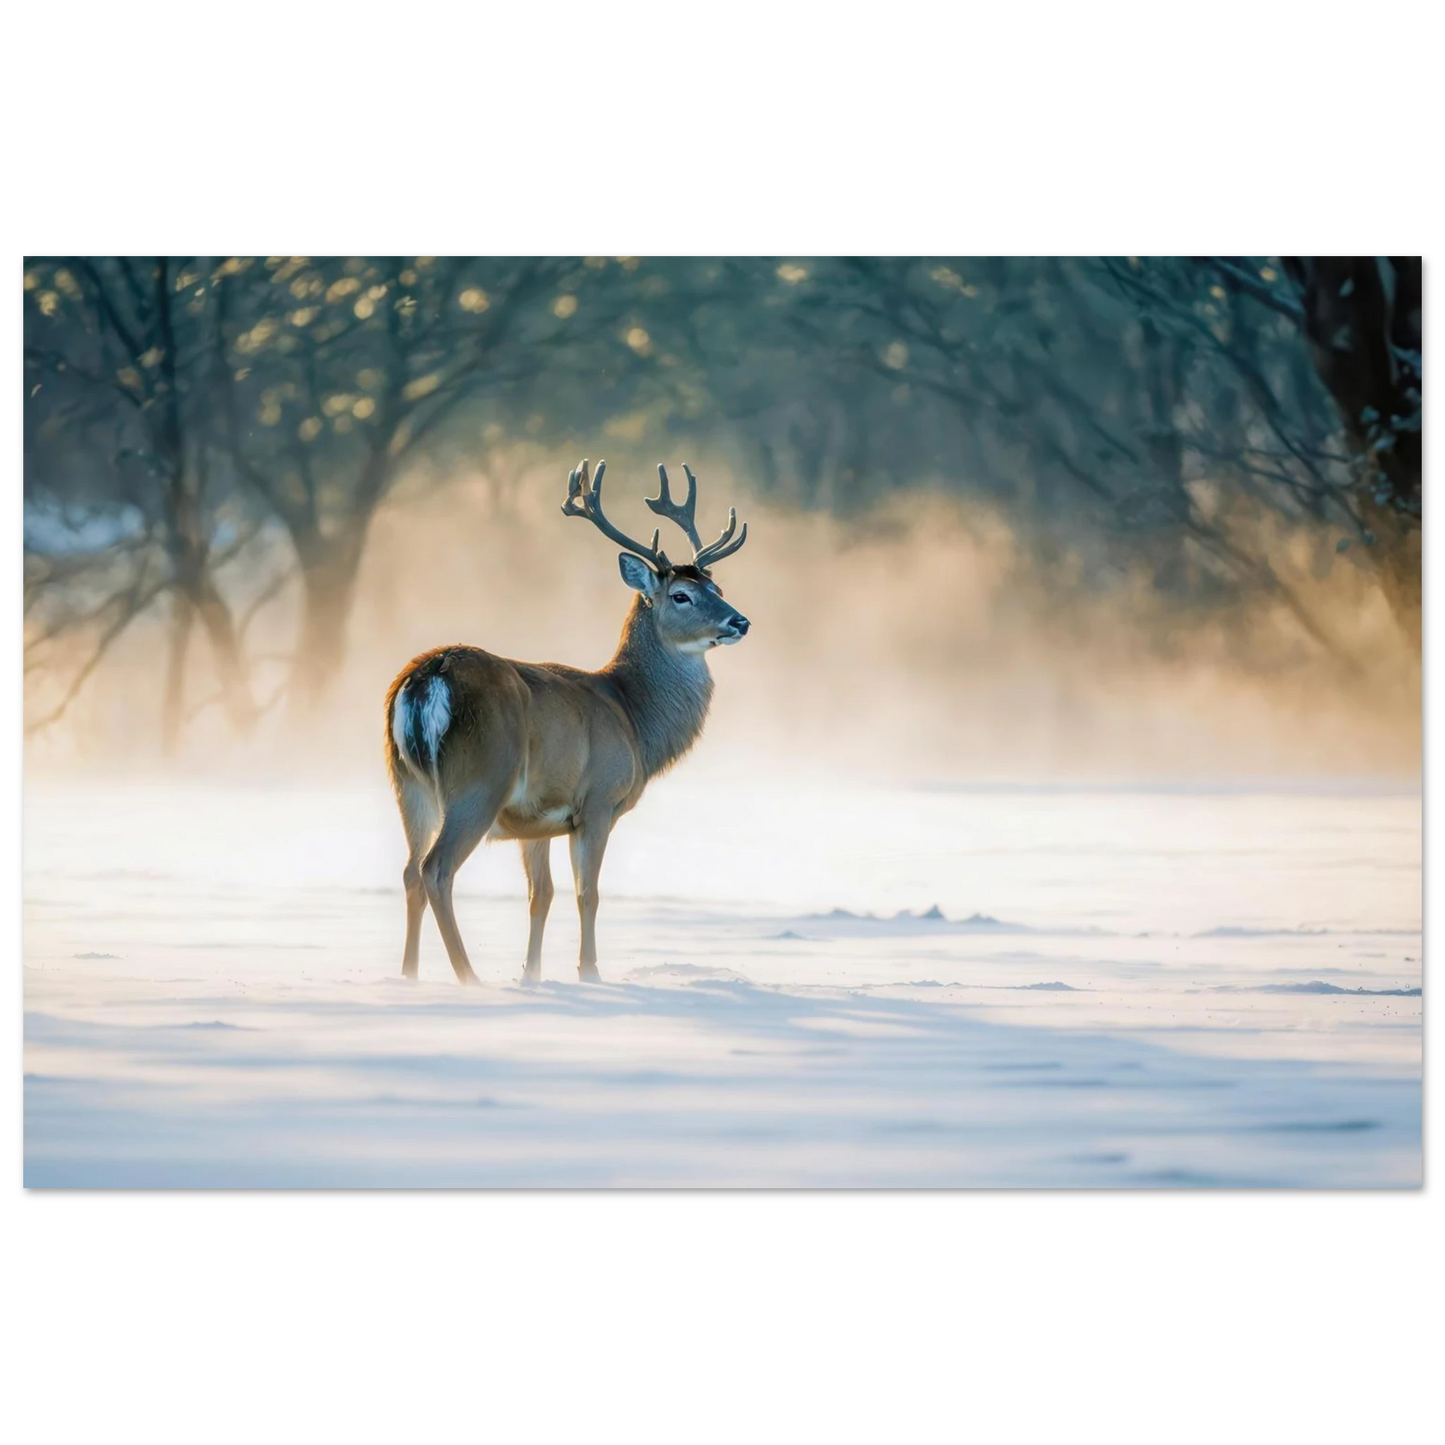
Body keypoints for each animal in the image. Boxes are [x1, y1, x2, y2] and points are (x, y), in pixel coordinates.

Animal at [385, 459, 751, 985]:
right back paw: (468, 977)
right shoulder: (598, 799)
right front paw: (590, 973)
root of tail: (428, 676)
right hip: (480, 776)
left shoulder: (535, 818)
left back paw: (410, 976)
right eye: (681, 595)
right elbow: (587, 894)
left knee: (410, 871)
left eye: (717, 588)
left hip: (406, 781)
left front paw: (532, 975)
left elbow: (541, 896)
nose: (739, 621)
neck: (633, 716)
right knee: (437, 869)